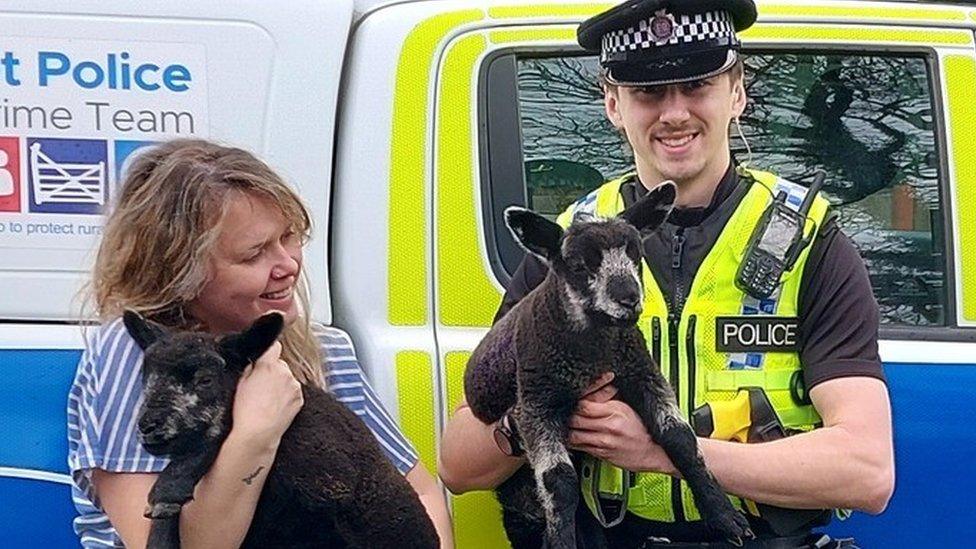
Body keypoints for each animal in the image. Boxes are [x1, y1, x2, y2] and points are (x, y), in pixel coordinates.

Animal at [123, 310, 438, 544]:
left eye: (205, 380)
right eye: (145, 378)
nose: (148, 426)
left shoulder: (326, 480)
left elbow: (218, 435)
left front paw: (167, 491)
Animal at [462, 182, 752, 544]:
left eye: (636, 255)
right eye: (578, 266)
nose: (628, 297)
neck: (594, 354)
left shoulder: (641, 373)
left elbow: (681, 439)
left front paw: (725, 515)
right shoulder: (536, 403)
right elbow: (559, 480)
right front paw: (561, 542)